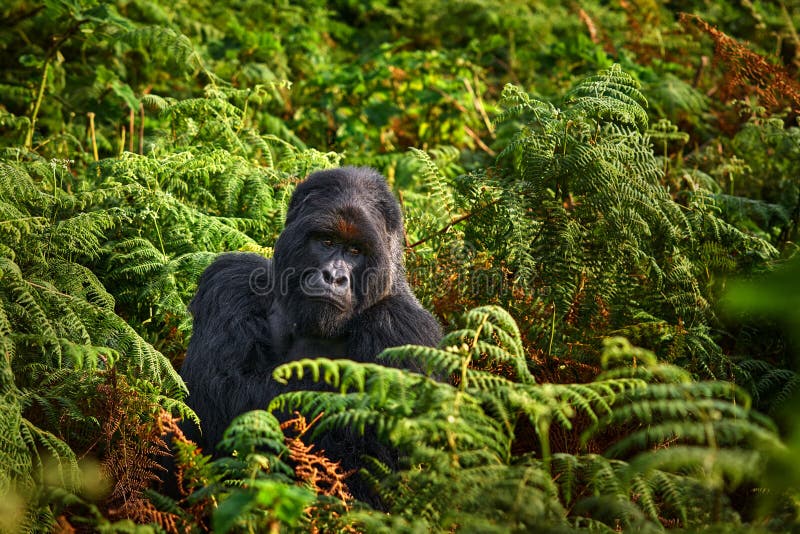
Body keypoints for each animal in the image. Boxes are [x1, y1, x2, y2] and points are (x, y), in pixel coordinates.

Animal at [179, 169, 444, 498]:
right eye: (326, 241)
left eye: (355, 251)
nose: (334, 276)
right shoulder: (231, 280)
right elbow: (216, 386)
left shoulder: (403, 330)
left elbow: (374, 457)